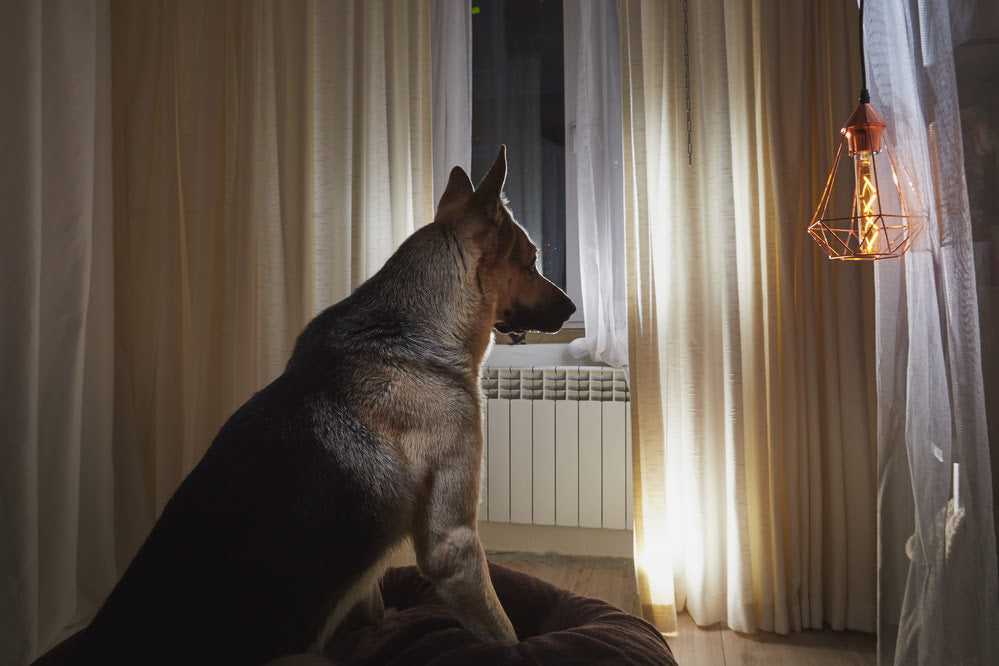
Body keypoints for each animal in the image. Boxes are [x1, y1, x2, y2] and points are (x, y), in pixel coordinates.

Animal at [74, 148, 576, 660]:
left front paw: (382, 626)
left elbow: (373, 602)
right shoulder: (453, 546)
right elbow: (502, 629)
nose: (574, 309)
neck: (412, 327)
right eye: (532, 262)